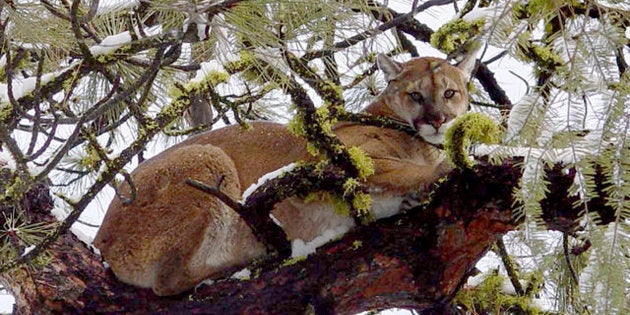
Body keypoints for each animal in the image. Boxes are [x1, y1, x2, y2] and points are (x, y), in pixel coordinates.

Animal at [94, 51, 478, 296]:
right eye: (416, 95)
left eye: (450, 92)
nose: (438, 120)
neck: (421, 144)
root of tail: (101, 239)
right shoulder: (350, 160)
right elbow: (408, 170)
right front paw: (454, 167)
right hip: (208, 158)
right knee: (168, 283)